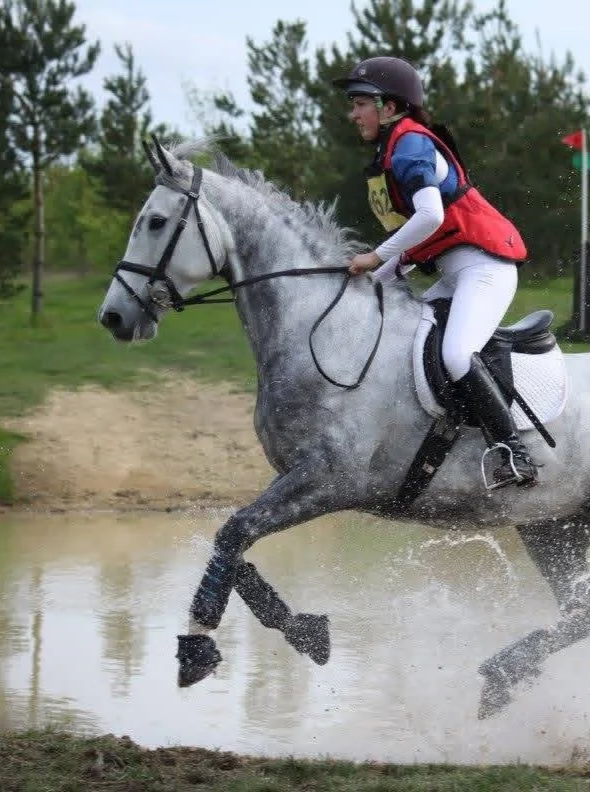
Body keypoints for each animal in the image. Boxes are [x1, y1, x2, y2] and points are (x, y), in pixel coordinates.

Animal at [98, 136, 590, 719]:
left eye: (154, 222)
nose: (113, 317)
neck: (322, 330)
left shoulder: (329, 481)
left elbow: (235, 532)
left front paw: (196, 647)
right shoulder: (293, 478)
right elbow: (233, 544)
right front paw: (306, 633)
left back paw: (504, 670)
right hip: (551, 522)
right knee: (579, 610)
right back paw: (503, 674)